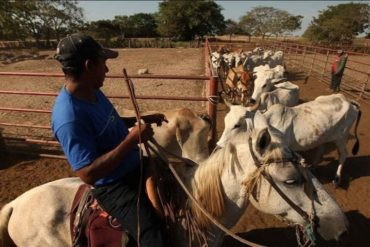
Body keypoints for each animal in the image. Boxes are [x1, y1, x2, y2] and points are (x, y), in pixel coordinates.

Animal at [218, 93, 362, 186]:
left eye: (237, 125)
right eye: (225, 120)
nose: (218, 145)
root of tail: (348, 101)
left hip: (341, 138)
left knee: (343, 155)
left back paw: (337, 179)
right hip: (325, 136)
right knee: (321, 149)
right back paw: (313, 167)